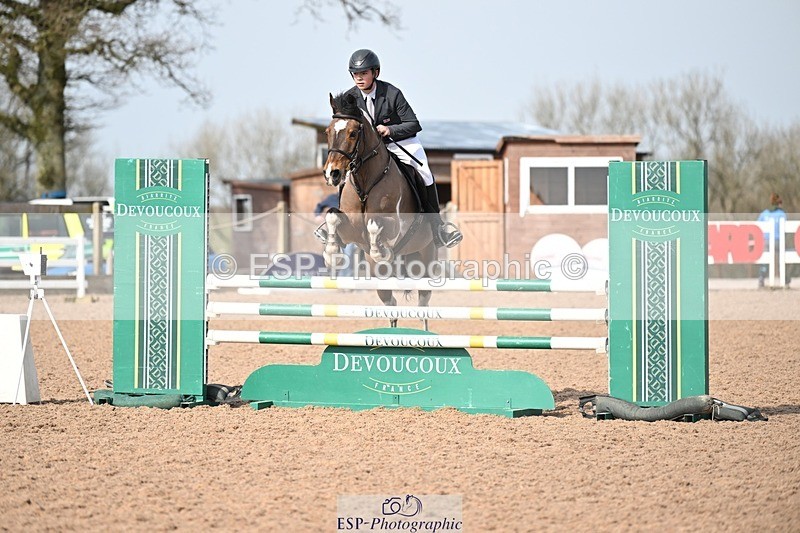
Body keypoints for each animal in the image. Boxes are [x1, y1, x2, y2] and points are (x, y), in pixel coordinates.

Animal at [321, 92, 438, 329]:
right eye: (328, 131)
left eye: (353, 133)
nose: (332, 174)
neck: (366, 182)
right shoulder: (353, 230)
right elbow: (332, 216)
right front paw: (331, 254)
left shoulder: (396, 226)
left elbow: (375, 225)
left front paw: (381, 251)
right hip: (379, 277)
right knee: (391, 304)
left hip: (425, 260)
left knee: (423, 306)